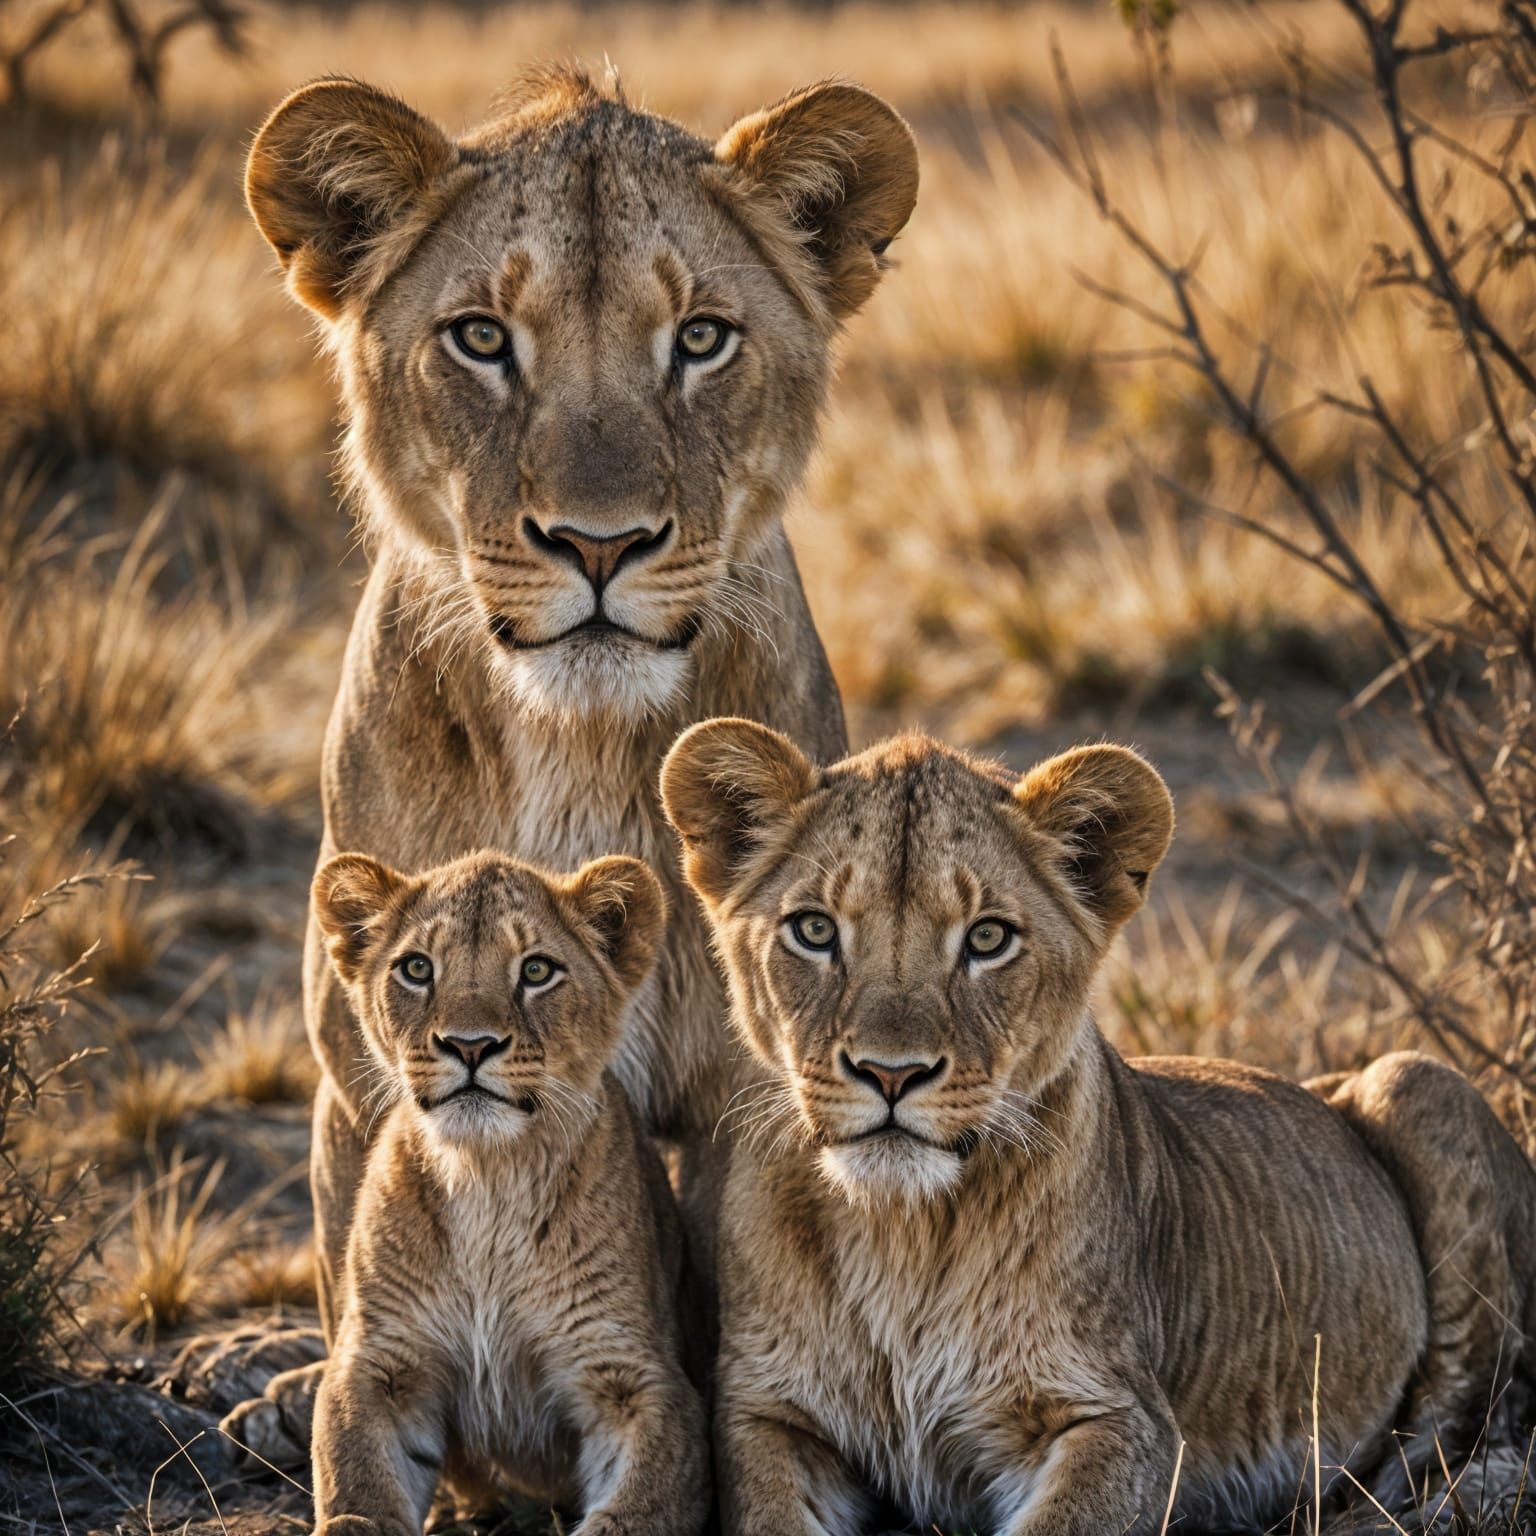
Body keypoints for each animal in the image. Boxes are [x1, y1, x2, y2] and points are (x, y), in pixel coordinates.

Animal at [224, 66, 918, 1459]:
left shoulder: (748, 1091)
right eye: (482, 339)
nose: (600, 545)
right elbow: (369, 1260)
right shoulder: (361, 1074)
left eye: (700, 339)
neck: (577, 740)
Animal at [306, 846, 707, 1535]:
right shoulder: (380, 1365)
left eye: (537, 970)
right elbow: (357, 1487)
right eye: (417, 968)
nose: (470, 1046)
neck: (488, 1179)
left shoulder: (637, 1381)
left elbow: (633, 1512)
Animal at [659, 719, 1536, 1535]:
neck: (899, 1232)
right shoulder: (765, 1414)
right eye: (814, 929)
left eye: (987, 938)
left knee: (1468, 1425)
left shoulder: (1122, 1419)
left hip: (1415, 1082)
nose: (892, 1074)